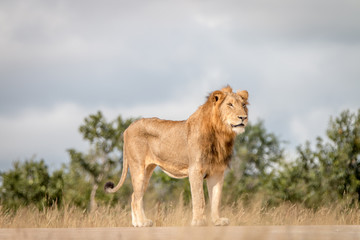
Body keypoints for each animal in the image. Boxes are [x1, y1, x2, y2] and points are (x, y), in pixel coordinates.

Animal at [104, 86, 248, 227]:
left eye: (243, 105)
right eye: (230, 105)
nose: (243, 117)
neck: (220, 134)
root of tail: (128, 128)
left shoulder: (217, 172)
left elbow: (216, 199)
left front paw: (217, 221)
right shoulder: (195, 169)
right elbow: (199, 198)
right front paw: (199, 221)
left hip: (147, 170)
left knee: (134, 196)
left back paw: (137, 223)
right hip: (138, 167)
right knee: (137, 197)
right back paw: (143, 223)